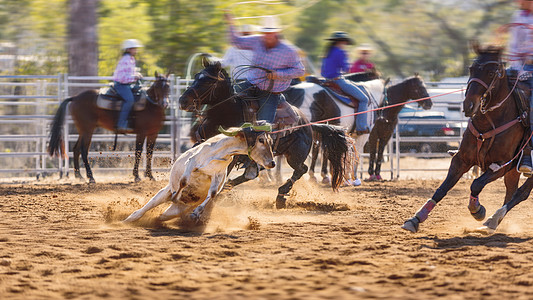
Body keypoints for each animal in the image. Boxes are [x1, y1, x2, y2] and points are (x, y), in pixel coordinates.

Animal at [404, 43, 524, 233]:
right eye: (471, 68)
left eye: (491, 72)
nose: (468, 105)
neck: (489, 124)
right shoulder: (461, 159)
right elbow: (442, 188)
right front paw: (416, 218)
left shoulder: (502, 165)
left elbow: (476, 184)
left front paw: (477, 210)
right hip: (513, 172)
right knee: (512, 191)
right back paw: (494, 221)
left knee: (521, 193)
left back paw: (492, 219)